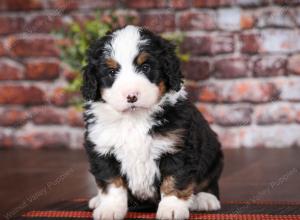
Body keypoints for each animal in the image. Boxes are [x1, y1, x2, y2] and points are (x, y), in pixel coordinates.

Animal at [82, 24, 223, 219]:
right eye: (111, 72)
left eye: (146, 67)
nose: (131, 96)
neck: (134, 120)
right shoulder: (103, 149)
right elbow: (111, 183)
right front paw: (110, 208)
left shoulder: (177, 148)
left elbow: (174, 181)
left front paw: (172, 209)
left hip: (213, 155)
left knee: (208, 181)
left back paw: (205, 199)